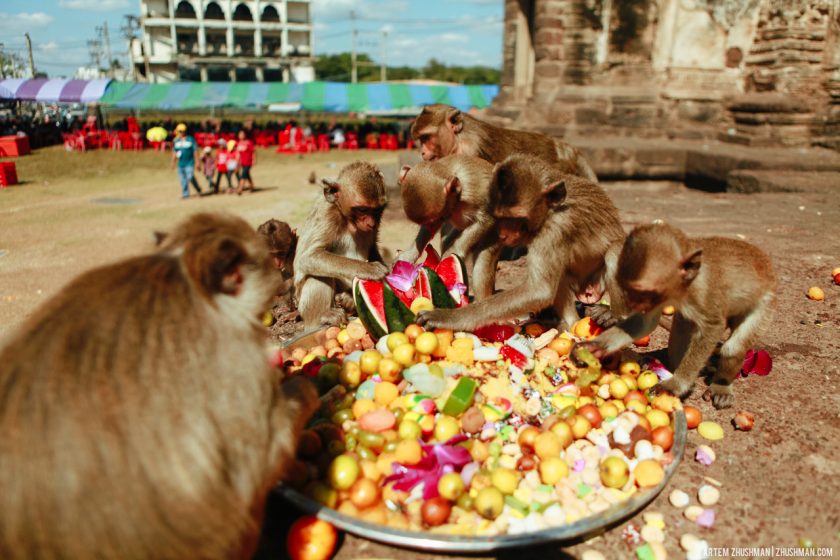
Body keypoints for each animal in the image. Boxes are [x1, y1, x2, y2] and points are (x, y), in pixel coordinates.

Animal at [0, 212, 320, 556]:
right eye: (266, 261)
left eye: (277, 258)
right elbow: (263, 452)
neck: (184, 273)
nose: (276, 279)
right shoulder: (236, 352)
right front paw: (303, 388)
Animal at [294, 161, 388, 328]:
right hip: (303, 307)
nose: (371, 223)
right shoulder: (327, 213)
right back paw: (324, 315)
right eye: (362, 209)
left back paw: (348, 300)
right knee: (319, 274)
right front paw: (369, 268)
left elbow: (372, 249)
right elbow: (309, 256)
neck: (348, 220)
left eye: (377, 210)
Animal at [412, 104, 596, 182]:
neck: (459, 139)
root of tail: (567, 149)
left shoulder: (470, 152)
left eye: (425, 138)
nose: (422, 152)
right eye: (421, 140)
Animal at [414, 153, 624, 332]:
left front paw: (447, 317)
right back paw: (569, 324)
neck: (550, 211)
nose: (503, 234)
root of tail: (587, 290)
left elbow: (539, 290)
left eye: (516, 218)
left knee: (615, 251)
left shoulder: (556, 228)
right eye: (500, 217)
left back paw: (613, 316)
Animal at [576, 223, 776, 412]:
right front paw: (593, 348)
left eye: (643, 292)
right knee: (681, 328)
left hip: (766, 303)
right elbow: (643, 323)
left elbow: (712, 328)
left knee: (733, 347)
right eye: (630, 290)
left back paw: (721, 384)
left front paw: (676, 385)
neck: (683, 286)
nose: (633, 304)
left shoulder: (703, 293)